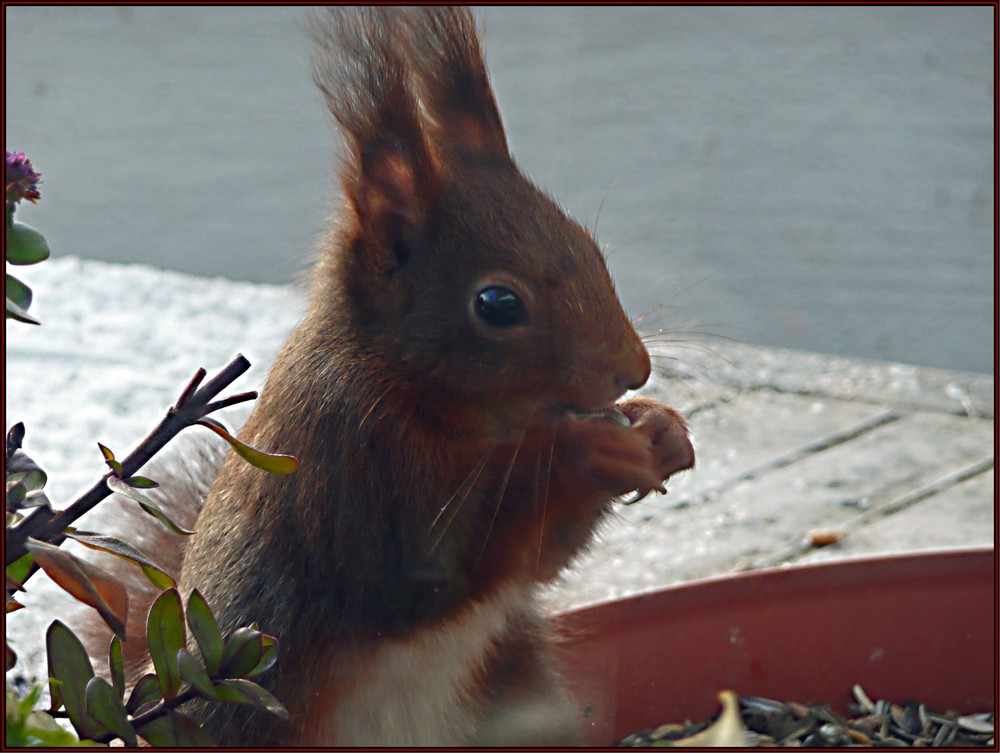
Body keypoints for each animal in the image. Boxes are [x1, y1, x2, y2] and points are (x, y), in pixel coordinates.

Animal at [103, 7, 696, 748]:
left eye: (591, 248)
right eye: (497, 303)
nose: (633, 369)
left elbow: (540, 560)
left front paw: (660, 427)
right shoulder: (339, 465)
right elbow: (426, 565)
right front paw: (589, 452)